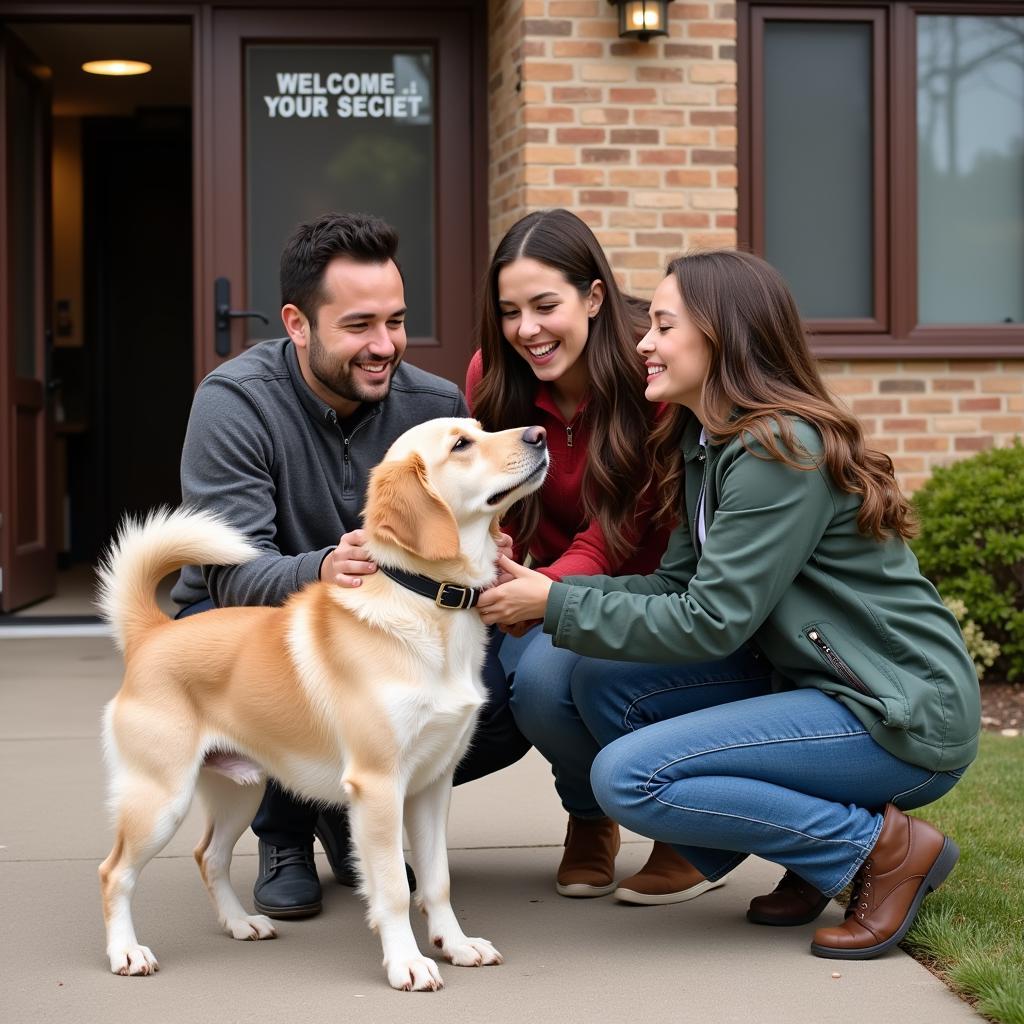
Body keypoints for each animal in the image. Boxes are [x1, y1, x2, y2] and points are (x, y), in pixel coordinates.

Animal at [94, 415, 552, 991]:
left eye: (480, 427)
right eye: (461, 445)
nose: (540, 434)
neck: (425, 602)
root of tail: (151, 633)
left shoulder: (431, 786)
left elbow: (437, 881)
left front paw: (456, 944)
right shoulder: (379, 786)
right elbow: (395, 890)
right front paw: (406, 963)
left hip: (240, 790)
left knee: (209, 856)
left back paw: (240, 923)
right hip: (159, 798)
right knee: (115, 873)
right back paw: (125, 952)